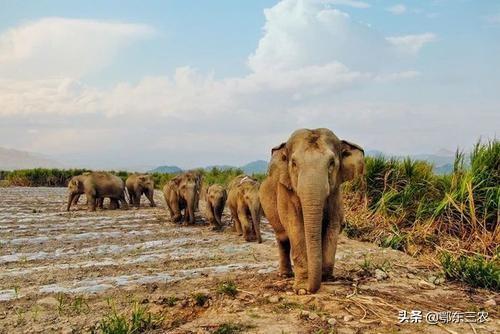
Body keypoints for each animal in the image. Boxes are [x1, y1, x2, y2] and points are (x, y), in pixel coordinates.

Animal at [258, 126, 364, 294]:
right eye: (294, 163)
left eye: (331, 163)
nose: (311, 288)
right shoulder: (286, 190)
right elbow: (294, 226)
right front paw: (302, 289)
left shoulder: (336, 193)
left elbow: (333, 225)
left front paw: (325, 278)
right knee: (282, 237)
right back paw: (285, 275)